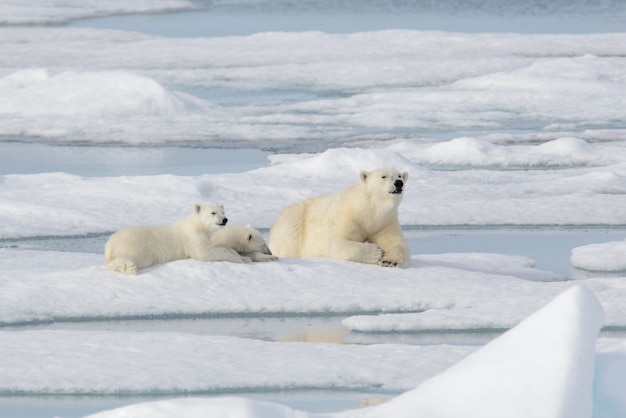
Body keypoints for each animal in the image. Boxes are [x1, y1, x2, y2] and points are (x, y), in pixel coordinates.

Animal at [104, 202, 249, 274]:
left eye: (223, 212)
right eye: (213, 213)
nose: (225, 219)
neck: (198, 225)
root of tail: (110, 243)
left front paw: (241, 256)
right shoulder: (192, 236)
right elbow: (204, 252)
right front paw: (239, 259)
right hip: (135, 245)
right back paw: (130, 268)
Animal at [268, 167, 410, 268]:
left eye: (399, 175)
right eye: (383, 176)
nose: (399, 183)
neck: (370, 211)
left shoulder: (385, 222)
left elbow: (396, 242)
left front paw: (389, 261)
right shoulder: (348, 216)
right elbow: (337, 243)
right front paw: (377, 252)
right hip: (292, 223)